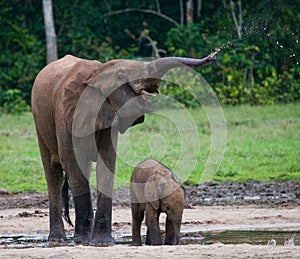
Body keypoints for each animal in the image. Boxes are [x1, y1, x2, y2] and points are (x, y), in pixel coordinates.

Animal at [31, 51, 218, 247]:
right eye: (120, 76)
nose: (213, 55)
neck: (95, 73)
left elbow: (107, 162)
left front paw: (102, 243)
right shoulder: (66, 113)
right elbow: (73, 163)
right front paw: (84, 241)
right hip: (39, 121)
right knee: (53, 173)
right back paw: (57, 240)